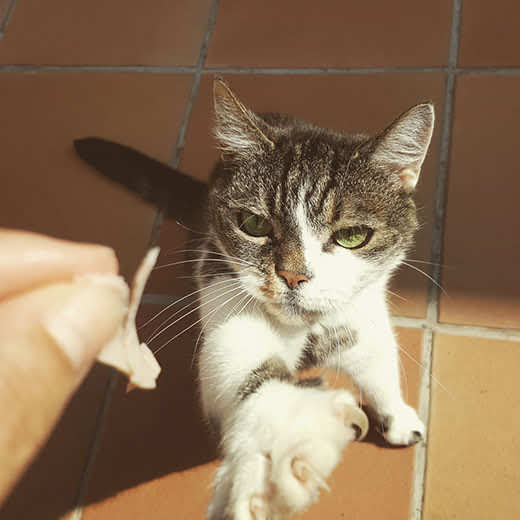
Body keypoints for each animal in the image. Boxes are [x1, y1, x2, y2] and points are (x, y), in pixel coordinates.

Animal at [193, 78, 432, 520]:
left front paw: (397, 413)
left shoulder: (363, 307)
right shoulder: (223, 291)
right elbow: (244, 368)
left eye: (352, 235)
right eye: (253, 224)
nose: (292, 274)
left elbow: (377, 356)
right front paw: (276, 452)